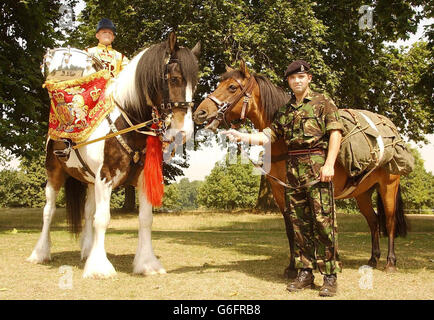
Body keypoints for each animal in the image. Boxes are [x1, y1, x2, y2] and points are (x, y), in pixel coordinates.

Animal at [28, 31, 201, 278]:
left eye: (195, 84)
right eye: (175, 79)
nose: (184, 131)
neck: (126, 124)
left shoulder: (140, 179)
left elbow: (145, 220)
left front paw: (146, 263)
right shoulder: (105, 177)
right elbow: (102, 219)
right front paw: (99, 267)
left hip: (89, 180)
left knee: (88, 212)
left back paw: (86, 250)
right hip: (55, 173)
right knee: (48, 211)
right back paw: (40, 253)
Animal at [193, 61, 406, 276]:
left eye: (232, 87)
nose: (199, 113)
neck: (283, 145)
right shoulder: (281, 191)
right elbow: (291, 228)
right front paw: (293, 266)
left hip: (388, 187)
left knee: (389, 222)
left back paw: (390, 262)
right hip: (362, 193)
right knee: (373, 221)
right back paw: (373, 259)